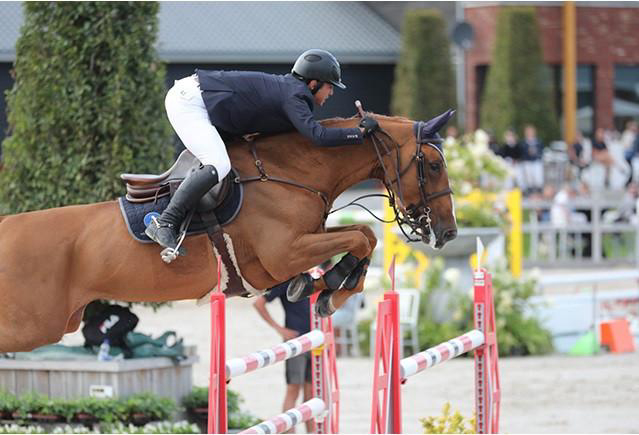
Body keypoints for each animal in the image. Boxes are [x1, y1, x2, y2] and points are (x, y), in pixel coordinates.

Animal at [0, 106, 460, 354]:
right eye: (434, 164)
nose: (449, 233)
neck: (288, 174)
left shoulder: (303, 243)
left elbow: (364, 237)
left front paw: (321, 288)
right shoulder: (284, 253)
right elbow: (361, 237)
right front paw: (328, 288)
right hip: (33, 325)